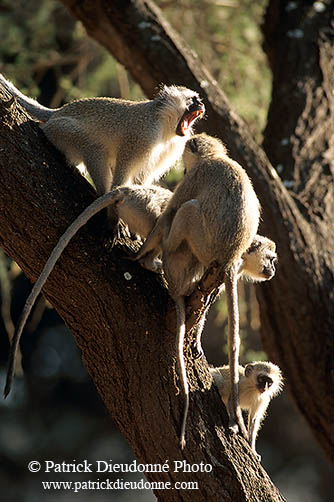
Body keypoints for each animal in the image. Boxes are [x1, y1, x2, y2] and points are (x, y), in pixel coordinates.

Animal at [133, 132, 260, 448]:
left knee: (187, 209)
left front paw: (141, 252)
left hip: (203, 242)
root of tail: (230, 258)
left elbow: (171, 211)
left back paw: (165, 247)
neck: (216, 158)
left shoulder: (195, 177)